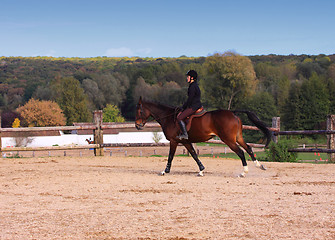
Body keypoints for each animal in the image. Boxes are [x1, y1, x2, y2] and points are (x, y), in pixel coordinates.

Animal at [135, 96, 272, 177]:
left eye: (139, 111)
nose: (137, 125)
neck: (168, 117)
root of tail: (233, 113)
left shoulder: (174, 141)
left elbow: (170, 156)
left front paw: (165, 171)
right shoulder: (185, 142)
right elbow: (194, 154)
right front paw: (201, 170)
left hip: (228, 140)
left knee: (240, 152)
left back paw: (244, 172)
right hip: (238, 138)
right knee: (248, 148)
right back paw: (259, 166)